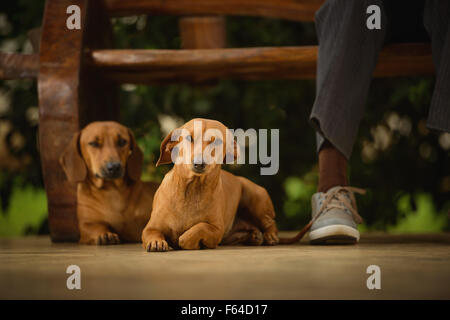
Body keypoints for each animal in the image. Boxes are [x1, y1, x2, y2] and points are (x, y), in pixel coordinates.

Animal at [142, 119, 280, 251]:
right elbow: (151, 232)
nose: (199, 163)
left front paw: (187, 240)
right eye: (189, 138)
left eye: (217, 141)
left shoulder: (217, 230)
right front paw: (156, 242)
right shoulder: (150, 228)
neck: (192, 191)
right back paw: (254, 236)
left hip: (254, 196)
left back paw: (270, 235)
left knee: (270, 222)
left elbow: (198, 229)